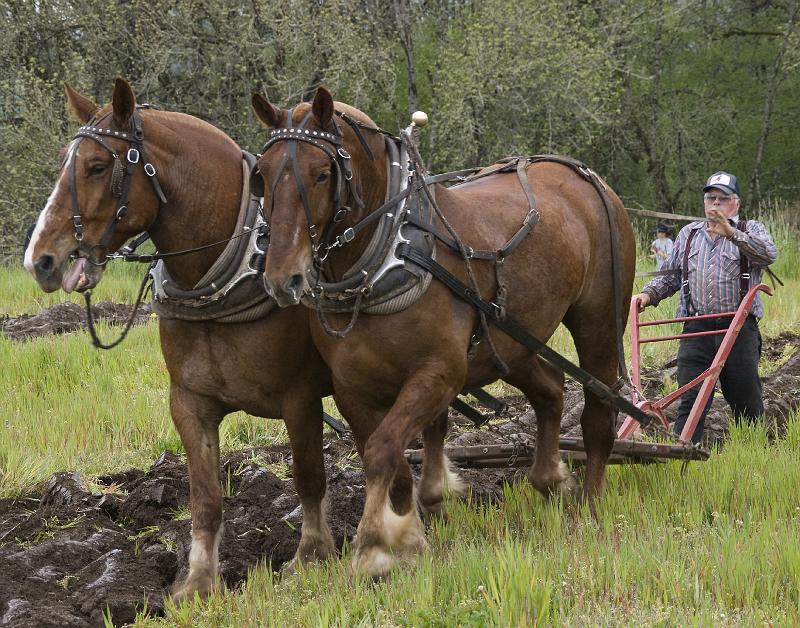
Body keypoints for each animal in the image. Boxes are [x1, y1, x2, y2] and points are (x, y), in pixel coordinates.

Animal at [21, 78, 336, 600]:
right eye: (66, 159)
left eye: (98, 166)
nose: (39, 260)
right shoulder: (189, 403)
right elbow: (205, 497)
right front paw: (197, 584)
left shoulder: (301, 399)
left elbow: (309, 477)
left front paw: (312, 559)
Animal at [253, 86, 636, 576]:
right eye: (261, 175)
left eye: (321, 174)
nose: (283, 278)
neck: (390, 254)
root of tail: (583, 175)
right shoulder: (352, 389)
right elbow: (391, 459)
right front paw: (410, 533)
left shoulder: (439, 373)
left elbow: (382, 450)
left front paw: (373, 545)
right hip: (508, 340)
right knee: (551, 390)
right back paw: (549, 478)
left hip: (598, 321)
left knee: (597, 411)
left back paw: (588, 505)